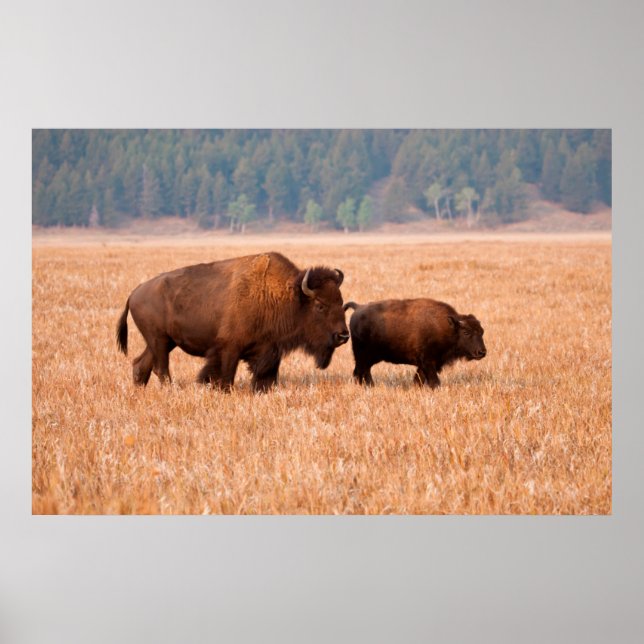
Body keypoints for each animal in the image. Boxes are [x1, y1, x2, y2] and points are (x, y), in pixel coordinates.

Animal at [116, 252, 349, 392]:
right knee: (161, 368)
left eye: (341, 302)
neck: (286, 296)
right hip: (159, 340)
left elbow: (267, 376)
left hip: (163, 342)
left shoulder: (271, 349)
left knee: (141, 365)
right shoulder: (229, 349)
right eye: (320, 305)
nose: (343, 335)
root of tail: (134, 293)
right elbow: (226, 375)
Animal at [343, 298, 486, 388]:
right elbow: (434, 381)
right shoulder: (428, 362)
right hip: (363, 356)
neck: (448, 327)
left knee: (362, 372)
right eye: (466, 332)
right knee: (361, 371)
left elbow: (420, 379)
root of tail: (358, 307)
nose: (482, 352)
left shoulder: (428, 364)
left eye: (482, 332)